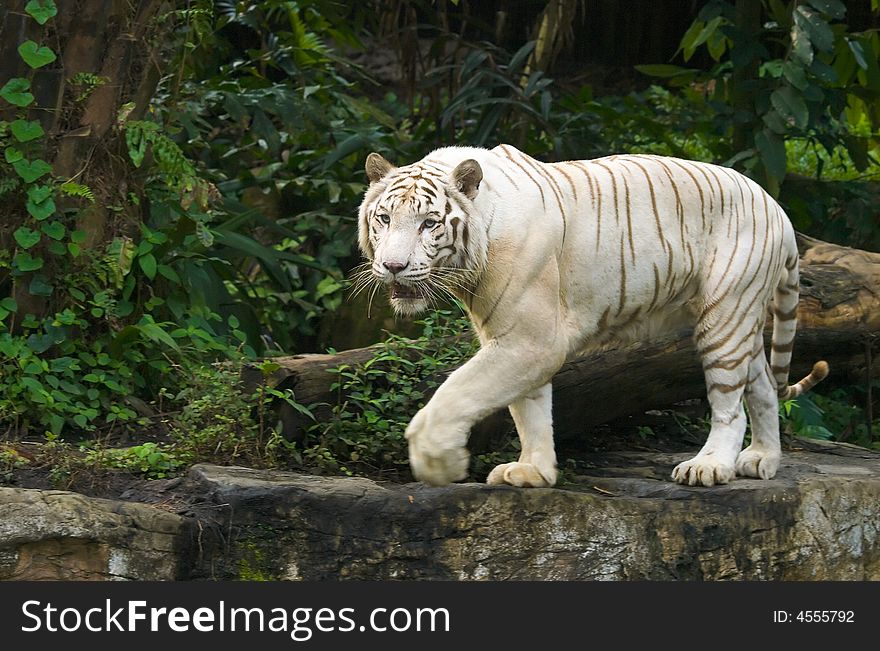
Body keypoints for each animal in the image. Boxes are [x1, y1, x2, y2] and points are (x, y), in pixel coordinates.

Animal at [356, 145, 824, 486]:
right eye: (385, 218)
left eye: (428, 223)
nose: (393, 266)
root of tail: (777, 208)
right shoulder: (517, 336)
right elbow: (529, 408)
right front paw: (533, 471)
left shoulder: (529, 337)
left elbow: (458, 392)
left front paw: (440, 464)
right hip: (741, 318)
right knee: (762, 387)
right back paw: (761, 459)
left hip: (724, 313)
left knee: (730, 403)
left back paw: (709, 467)